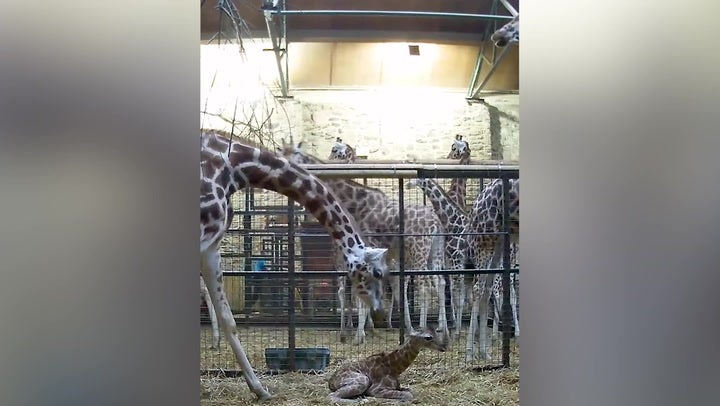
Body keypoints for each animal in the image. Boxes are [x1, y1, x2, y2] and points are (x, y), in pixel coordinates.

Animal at [201, 129, 390, 400]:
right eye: (377, 272)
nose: (381, 313)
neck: (237, 166)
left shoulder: (210, 247)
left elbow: (230, 321)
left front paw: (260, 389)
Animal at [282, 141, 449, 344]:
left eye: (292, 156)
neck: (355, 203)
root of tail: (437, 223)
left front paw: (358, 335)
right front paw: (363, 330)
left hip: (418, 251)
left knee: (424, 286)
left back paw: (420, 331)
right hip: (435, 251)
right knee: (440, 281)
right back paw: (444, 331)